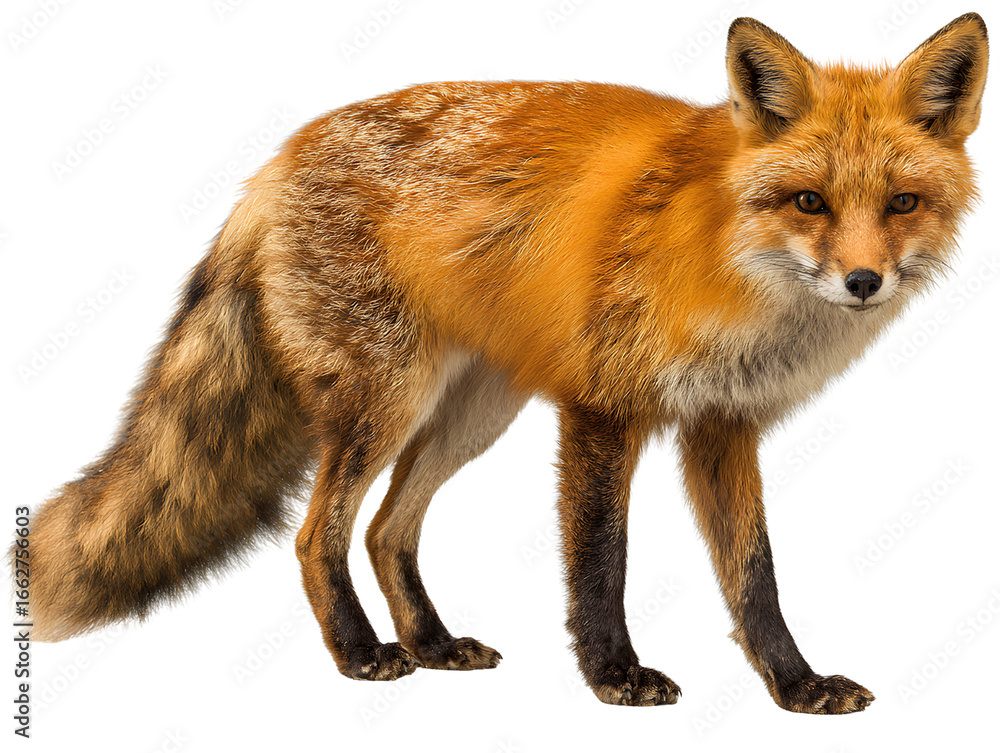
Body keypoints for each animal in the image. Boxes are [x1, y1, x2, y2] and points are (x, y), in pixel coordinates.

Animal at [11, 13, 989, 714]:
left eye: (902, 203)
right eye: (809, 201)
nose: (863, 281)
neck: (729, 264)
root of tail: (272, 167)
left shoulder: (721, 423)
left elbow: (755, 578)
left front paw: (795, 685)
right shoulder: (603, 407)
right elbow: (601, 559)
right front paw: (614, 676)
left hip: (472, 416)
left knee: (385, 529)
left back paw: (433, 644)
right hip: (386, 401)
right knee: (317, 531)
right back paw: (363, 654)